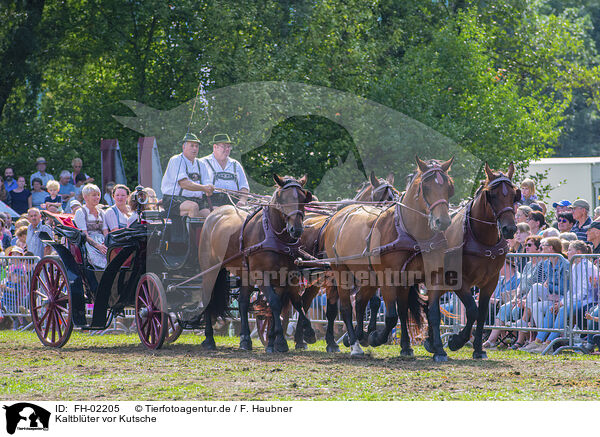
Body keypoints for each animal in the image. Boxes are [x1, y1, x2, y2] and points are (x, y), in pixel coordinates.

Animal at [200, 173, 314, 350]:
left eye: (303, 199)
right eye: (282, 199)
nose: (296, 229)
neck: (274, 235)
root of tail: (213, 214)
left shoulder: (286, 276)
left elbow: (292, 303)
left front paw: (278, 339)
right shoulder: (260, 274)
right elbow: (274, 302)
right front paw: (280, 341)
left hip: (245, 274)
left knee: (243, 302)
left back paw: (245, 339)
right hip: (210, 270)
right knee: (208, 298)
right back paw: (209, 339)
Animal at [298, 170, 398, 350]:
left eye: (395, 193)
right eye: (382, 196)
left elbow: (371, 302)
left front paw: (366, 333)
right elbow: (335, 309)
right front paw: (341, 339)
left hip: (316, 279)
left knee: (304, 301)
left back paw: (301, 339)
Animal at [322, 157, 452, 354]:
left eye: (449, 187)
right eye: (426, 187)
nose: (442, 221)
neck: (410, 233)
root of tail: (338, 215)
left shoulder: (422, 276)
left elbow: (420, 312)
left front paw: (426, 348)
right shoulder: (387, 277)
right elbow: (391, 316)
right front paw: (376, 337)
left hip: (367, 276)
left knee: (359, 301)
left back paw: (357, 336)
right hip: (340, 271)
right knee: (344, 308)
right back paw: (354, 343)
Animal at [426, 163, 520, 358]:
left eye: (514, 195)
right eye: (492, 195)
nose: (509, 229)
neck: (481, 239)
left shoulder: (491, 282)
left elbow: (482, 313)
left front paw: (477, 348)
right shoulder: (459, 280)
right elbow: (471, 310)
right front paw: (456, 341)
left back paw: (431, 343)